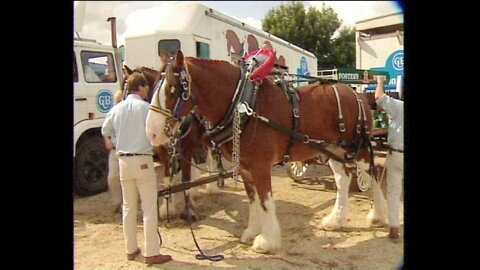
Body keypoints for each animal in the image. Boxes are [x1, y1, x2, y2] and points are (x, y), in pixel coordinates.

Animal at [146, 50, 390, 253]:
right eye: (154, 85)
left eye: (172, 89)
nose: (152, 133)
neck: (242, 105)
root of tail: (356, 94)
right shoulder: (245, 168)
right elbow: (253, 199)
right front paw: (252, 231)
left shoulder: (260, 166)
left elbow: (265, 200)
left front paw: (267, 240)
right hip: (332, 149)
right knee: (342, 180)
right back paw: (335, 220)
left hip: (358, 148)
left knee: (371, 174)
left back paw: (378, 216)